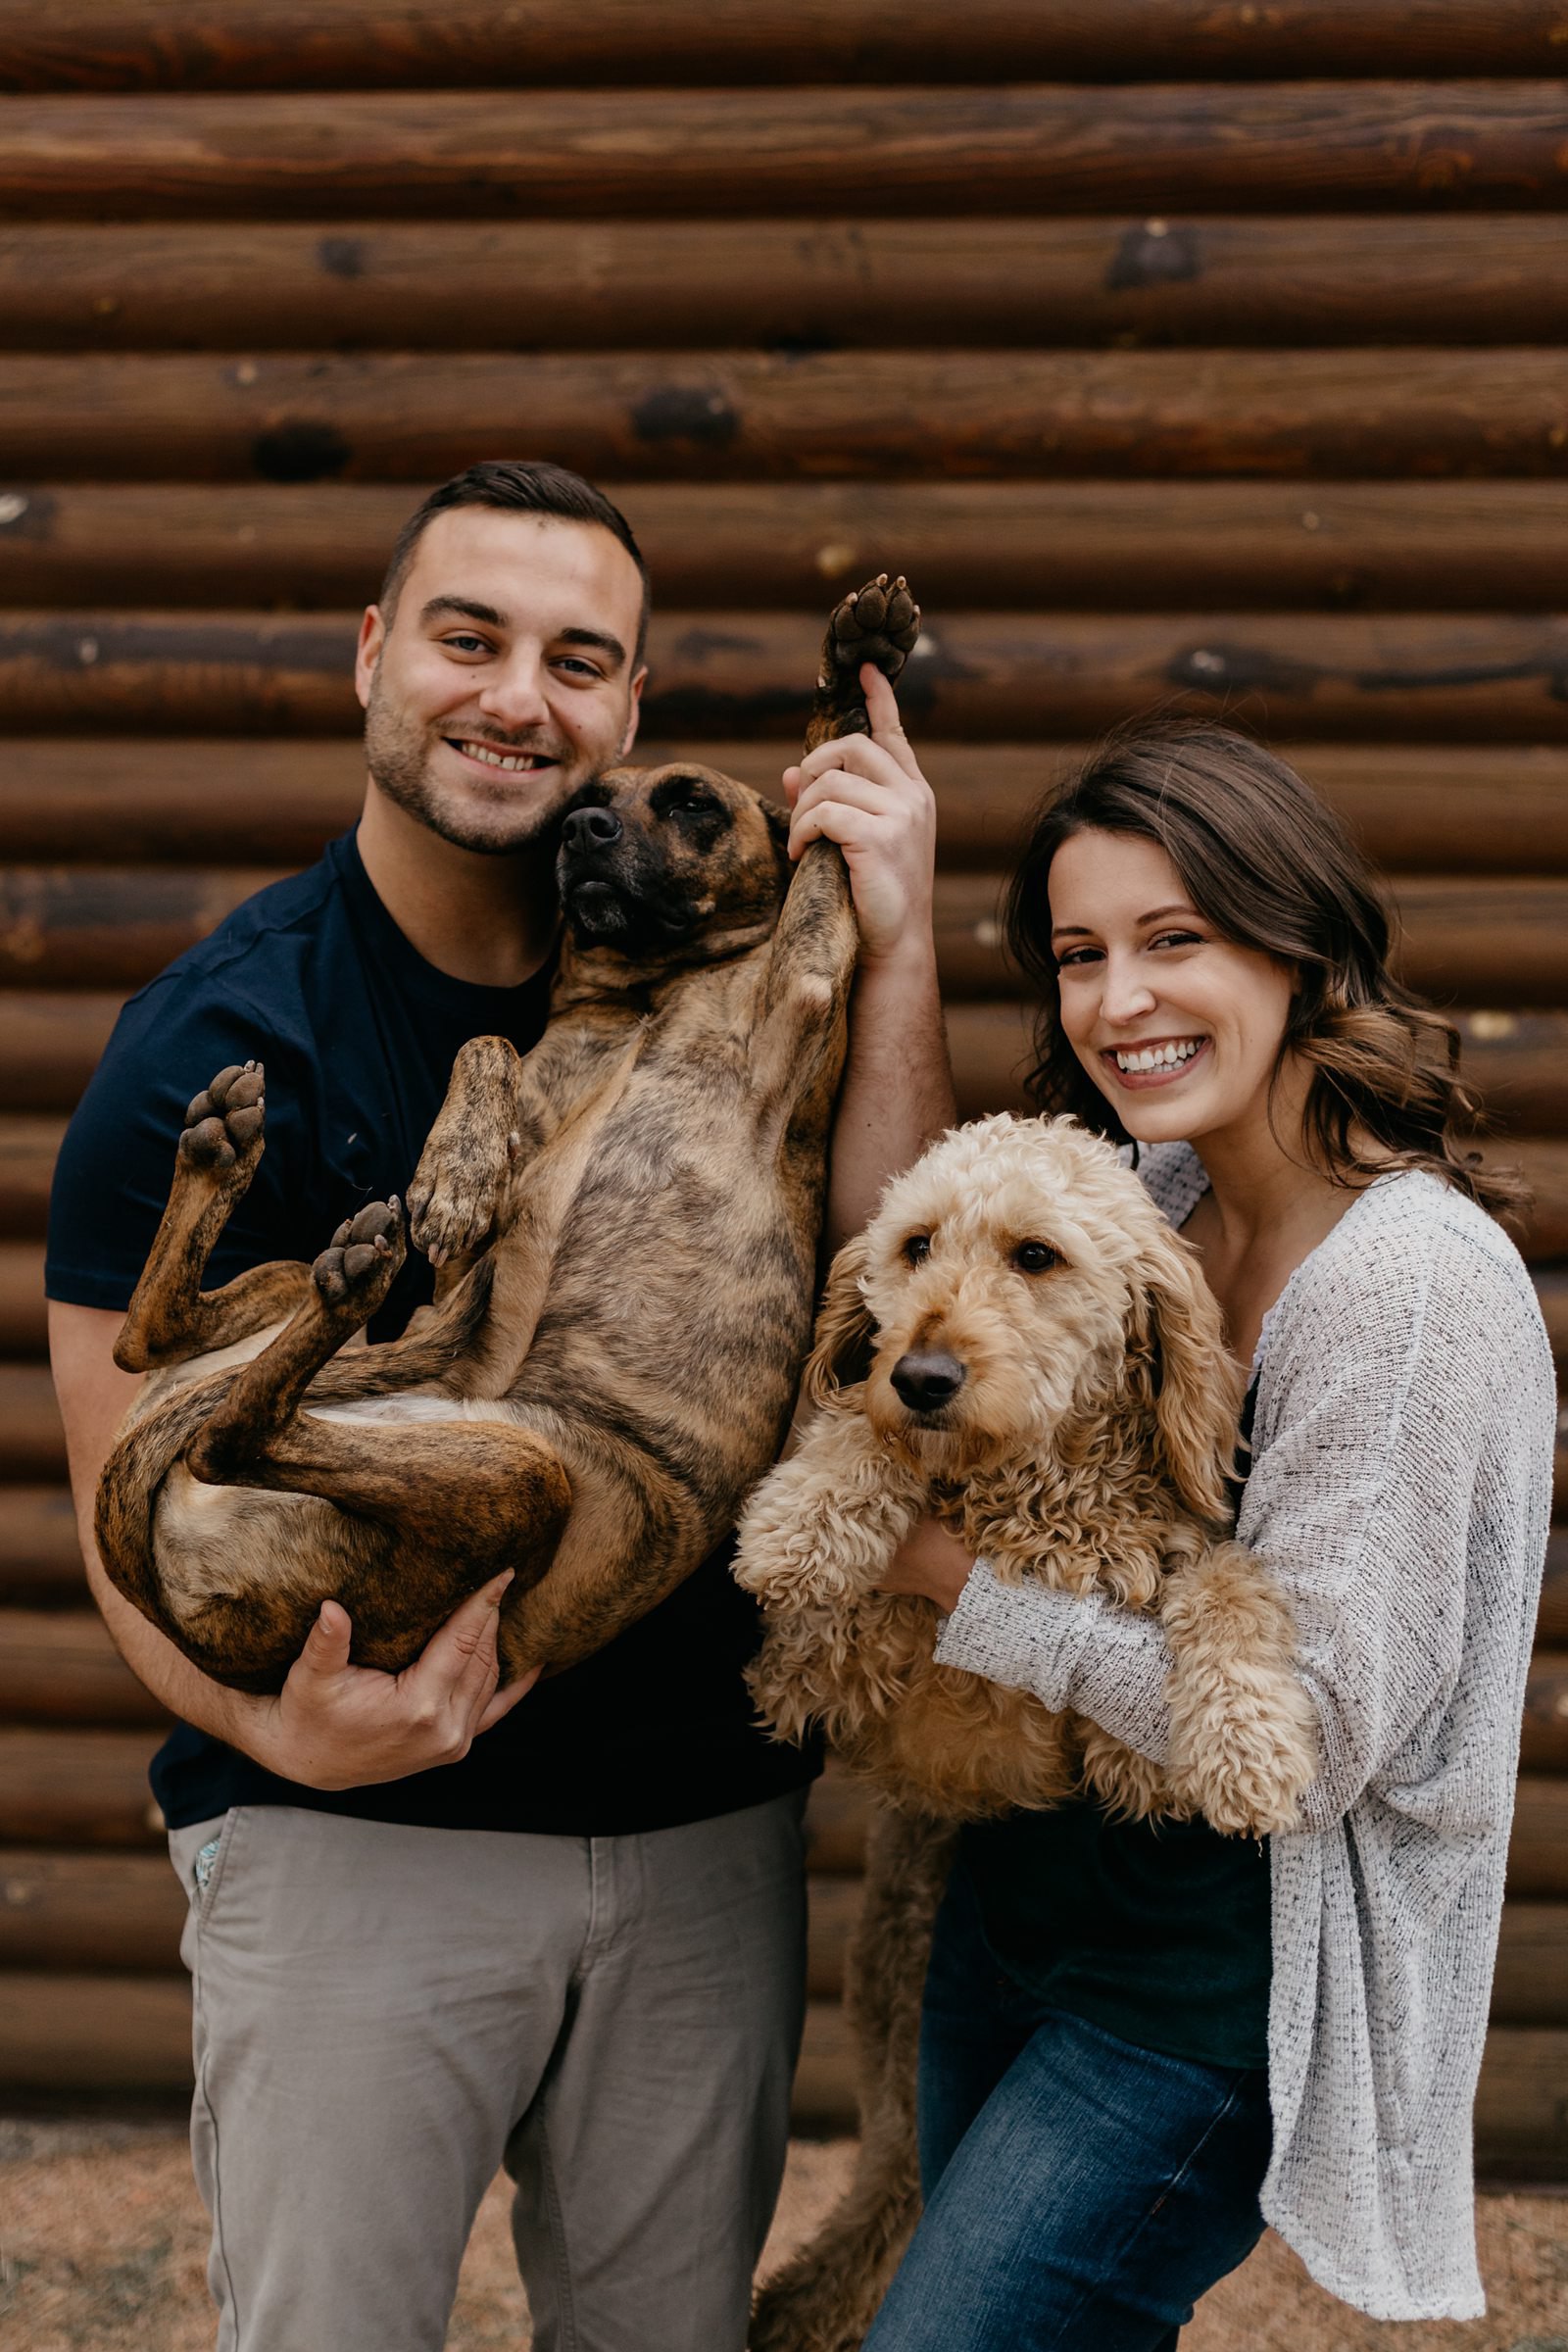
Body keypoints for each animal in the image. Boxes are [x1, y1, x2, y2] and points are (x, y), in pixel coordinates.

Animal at [733, 1114, 1316, 2352]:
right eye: (913, 1245)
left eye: (1035, 1256)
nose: (923, 1376)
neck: (1028, 1489)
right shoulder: (818, 1672)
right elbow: (862, 1444)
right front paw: (807, 1512)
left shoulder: (1126, 1748)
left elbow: (1225, 1582)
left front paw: (1251, 1746)